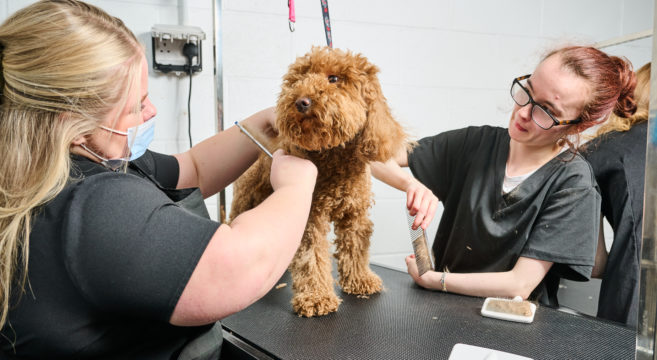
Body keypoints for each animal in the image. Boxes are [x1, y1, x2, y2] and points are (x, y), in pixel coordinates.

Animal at [229, 46, 404, 316]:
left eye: (334, 78)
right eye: (298, 79)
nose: (301, 101)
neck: (335, 158)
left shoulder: (354, 215)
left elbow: (355, 247)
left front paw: (360, 280)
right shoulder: (310, 217)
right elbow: (312, 257)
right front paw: (316, 297)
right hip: (245, 200)